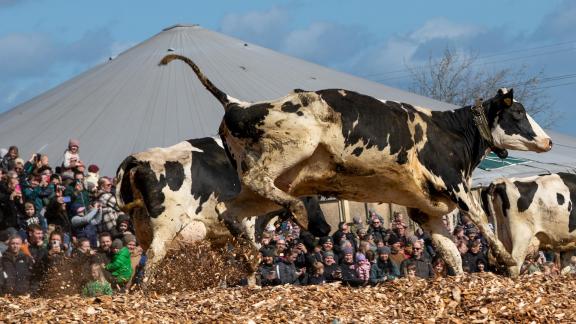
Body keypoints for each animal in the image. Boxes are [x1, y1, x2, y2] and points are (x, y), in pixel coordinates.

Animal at [115, 137, 330, 276]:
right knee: (154, 256)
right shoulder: (251, 225)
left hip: (143, 228)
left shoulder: (219, 236)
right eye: (311, 198)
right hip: (167, 226)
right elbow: (252, 260)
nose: (326, 228)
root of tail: (138, 159)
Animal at [159, 54, 552, 274]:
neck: (451, 131)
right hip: (288, 152)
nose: (547, 141)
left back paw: (253, 253)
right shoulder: (455, 185)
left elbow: (452, 252)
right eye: (518, 113)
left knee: (231, 210)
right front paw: (507, 259)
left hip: (272, 182)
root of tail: (238, 105)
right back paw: (299, 214)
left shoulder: (426, 210)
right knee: (259, 184)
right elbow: (482, 223)